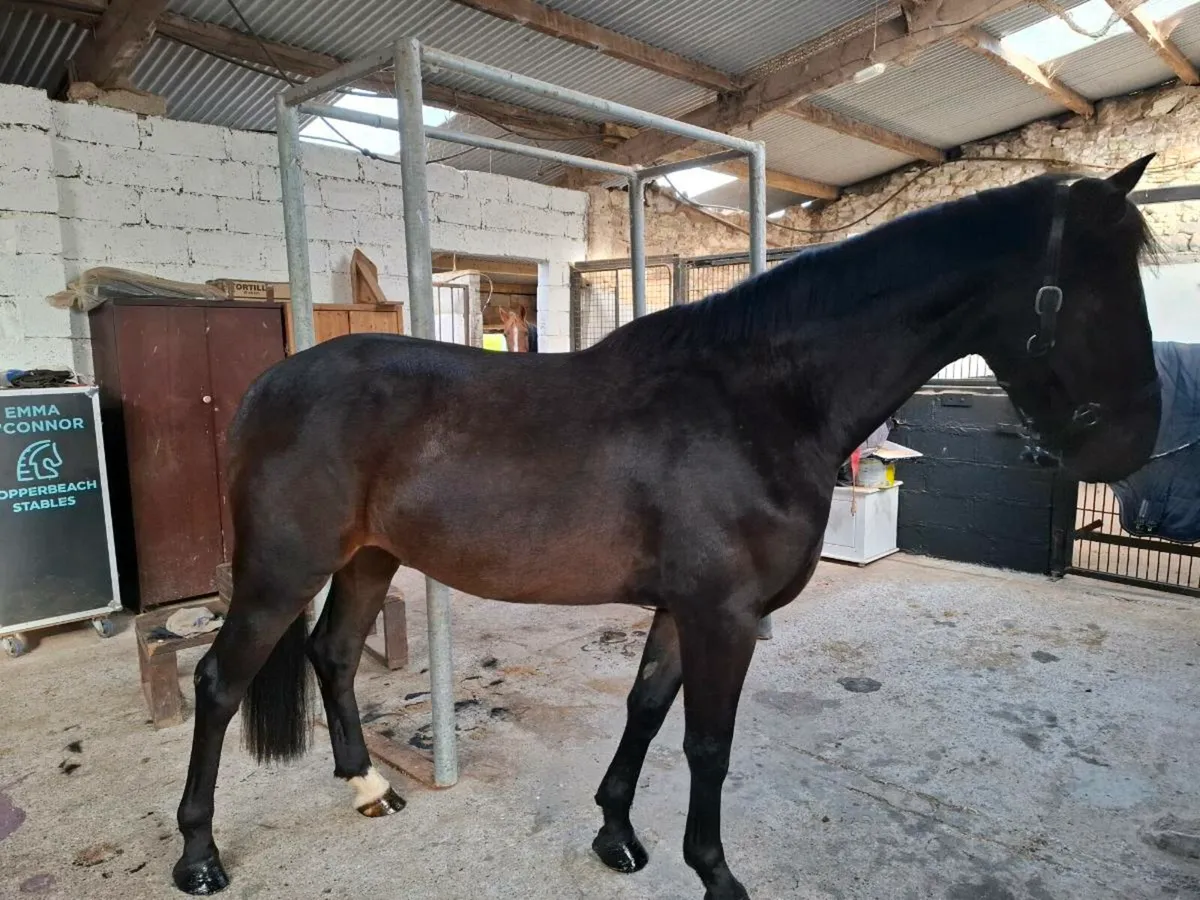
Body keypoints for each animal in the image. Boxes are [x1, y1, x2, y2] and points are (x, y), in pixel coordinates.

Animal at [171, 158, 1162, 899]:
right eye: (1099, 292)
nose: (1137, 443)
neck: (762, 399)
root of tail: (268, 386)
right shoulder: (724, 615)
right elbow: (708, 744)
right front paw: (716, 874)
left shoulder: (684, 611)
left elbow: (646, 712)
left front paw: (616, 833)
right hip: (283, 569)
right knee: (220, 682)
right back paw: (200, 857)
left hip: (370, 558)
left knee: (333, 654)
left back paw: (369, 787)